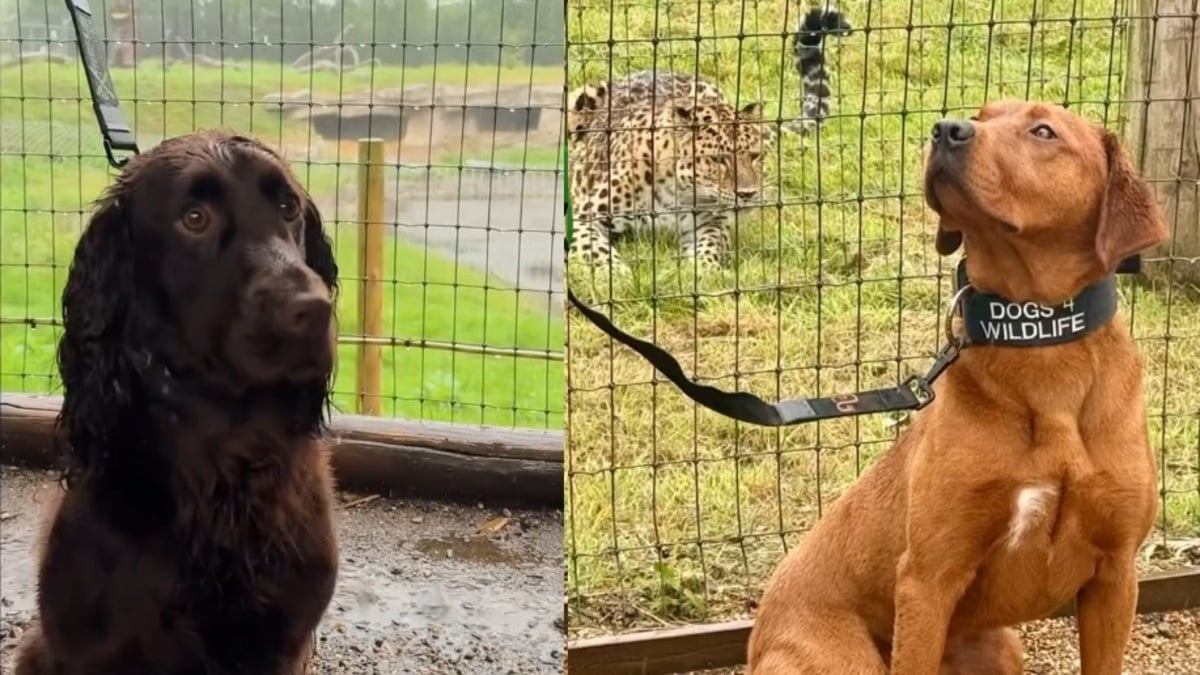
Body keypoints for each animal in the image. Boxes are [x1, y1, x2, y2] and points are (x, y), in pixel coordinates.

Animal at [564, 68, 768, 267]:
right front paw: (617, 271)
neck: (675, 191)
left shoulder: (711, 223)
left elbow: (712, 244)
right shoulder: (581, 218)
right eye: (717, 159)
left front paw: (704, 268)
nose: (748, 194)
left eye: (755, 156)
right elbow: (595, 249)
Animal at [748, 100, 1171, 672]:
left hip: (1002, 645)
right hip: (846, 657)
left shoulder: (1116, 573)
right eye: (982, 114)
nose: (945, 129)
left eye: (1044, 131)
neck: (1041, 345)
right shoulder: (929, 576)